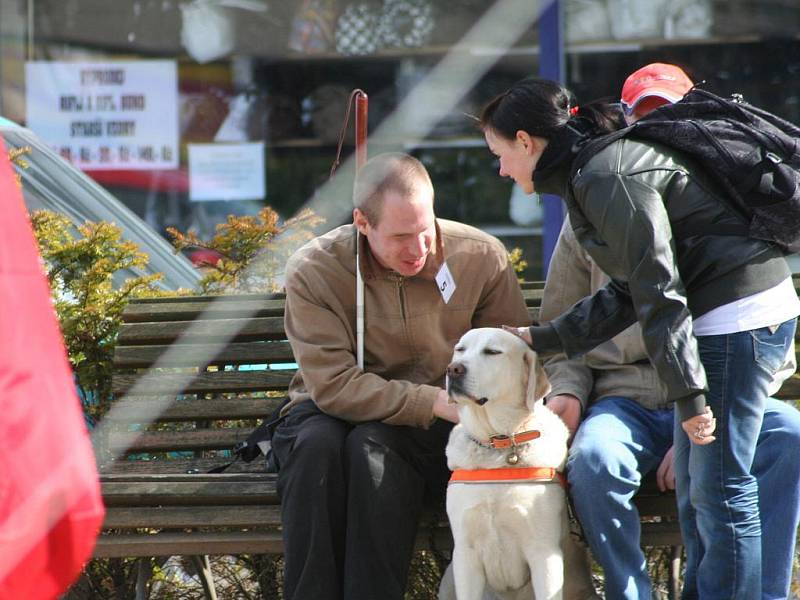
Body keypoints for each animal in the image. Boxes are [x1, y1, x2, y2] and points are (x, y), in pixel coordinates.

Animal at [444, 328, 568, 600]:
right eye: (460, 349)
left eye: (492, 352)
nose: (453, 369)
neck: (498, 444)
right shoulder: (465, 554)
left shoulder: (544, 551)